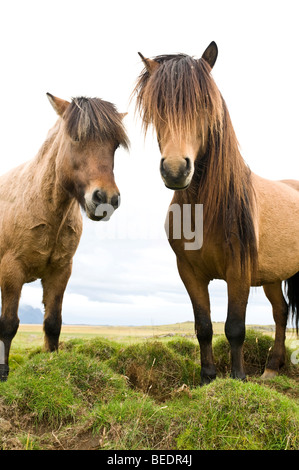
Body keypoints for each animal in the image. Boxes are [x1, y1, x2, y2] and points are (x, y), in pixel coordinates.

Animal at [0, 92, 129, 382]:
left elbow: (53, 324)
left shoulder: (60, 271)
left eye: (115, 145)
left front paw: (51, 366)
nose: (106, 199)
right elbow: (8, 325)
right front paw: (3, 374)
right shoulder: (11, 271)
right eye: (76, 138)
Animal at [135, 42, 299, 384]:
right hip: (273, 276)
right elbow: (204, 326)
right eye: (157, 108)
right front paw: (208, 377)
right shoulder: (189, 272)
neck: (204, 211)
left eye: (204, 106)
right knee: (280, 312)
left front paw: (237, 378)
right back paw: (271, 367)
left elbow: (235, 327)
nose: (175, 170)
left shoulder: (238, 273)